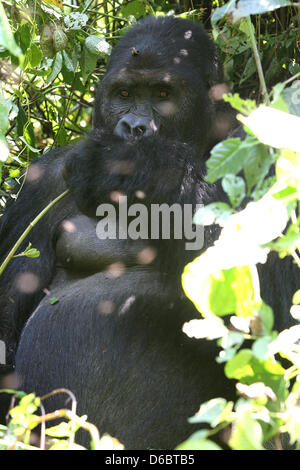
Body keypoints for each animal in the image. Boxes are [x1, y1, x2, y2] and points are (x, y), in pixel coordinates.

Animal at [0, 15, 298, 448]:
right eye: (124, 93)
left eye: (162, 93)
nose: (134, 127)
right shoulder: (42, 185)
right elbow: (5, 322)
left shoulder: (266, 144)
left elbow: (278, 306)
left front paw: (132, 164)